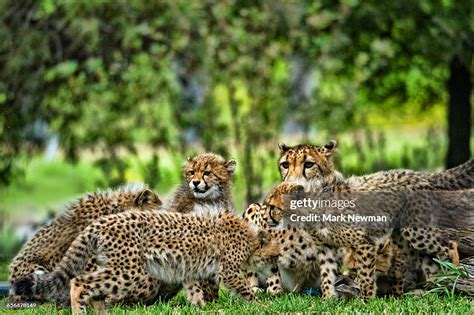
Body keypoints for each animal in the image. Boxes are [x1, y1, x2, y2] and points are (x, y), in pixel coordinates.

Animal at [11, 210, 268, 314]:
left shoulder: (188, 270)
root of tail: (101, 221)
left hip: (114, 266)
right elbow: (244, 289)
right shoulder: (229, 271)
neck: (253, 238)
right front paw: (259, 304)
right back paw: (79, 311)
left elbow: (194, 289)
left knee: (94, 289)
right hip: (128, 271)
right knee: (79, 282)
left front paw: (201, 307)